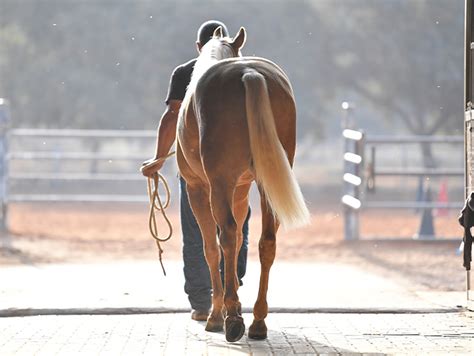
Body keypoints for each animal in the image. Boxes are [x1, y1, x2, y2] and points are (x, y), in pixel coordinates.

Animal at [176, 25, 310, 342]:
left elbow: (212, 248)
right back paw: (258, 321)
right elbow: (239, 243)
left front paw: (217, 314)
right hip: (264, 186)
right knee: (267, 241)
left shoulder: (200, 188)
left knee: (224, 237)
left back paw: (232, 320)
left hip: (218, 185)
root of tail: (248, 73)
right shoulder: (239, 190)